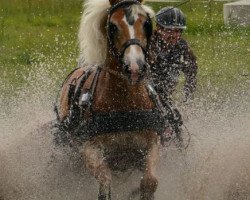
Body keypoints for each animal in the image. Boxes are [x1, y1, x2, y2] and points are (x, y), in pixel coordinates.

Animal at [55, 0, 168, 199]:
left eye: (146, 23)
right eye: (113, 27)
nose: (135, 67)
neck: (125, 104)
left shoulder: (152, 141)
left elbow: (149, 181)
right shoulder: (90, 149)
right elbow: (105, 182)